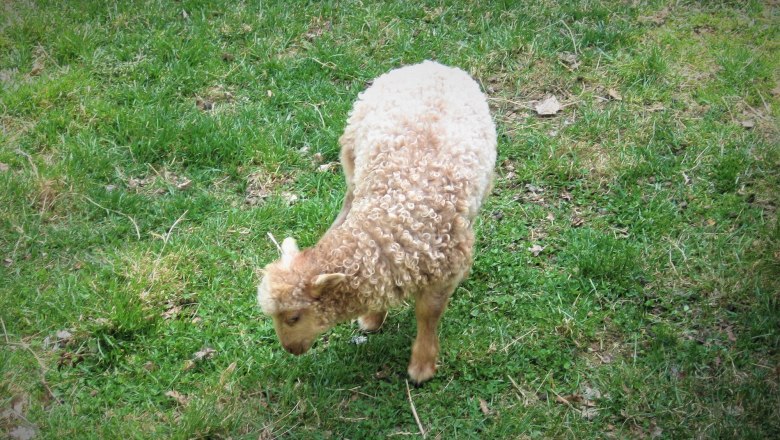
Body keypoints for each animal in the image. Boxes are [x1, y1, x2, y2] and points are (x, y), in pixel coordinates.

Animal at [258, 60, 496, 384]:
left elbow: (428, 314)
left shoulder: (445, 270)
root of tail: (433, 65)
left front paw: (421, 366)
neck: (388, 223)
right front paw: (373, 318)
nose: (290, 350)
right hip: (351, 157)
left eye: (293, 317)